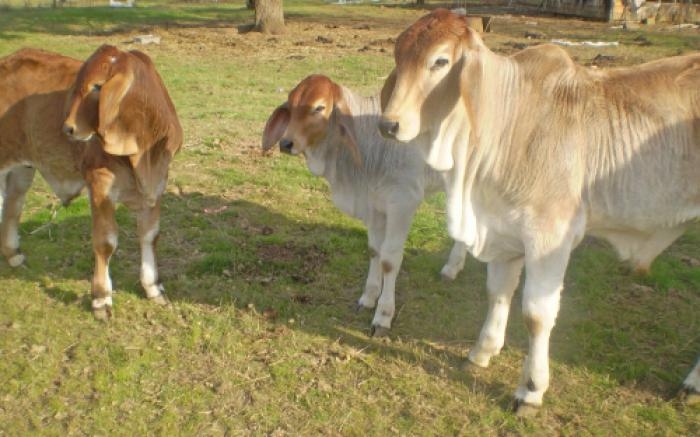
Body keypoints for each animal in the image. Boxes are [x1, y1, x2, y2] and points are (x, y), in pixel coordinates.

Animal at [62, 45, 183, 320]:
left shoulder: (157, 186)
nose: (68, 128)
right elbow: (105, 242)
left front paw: (153, 288)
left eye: (98, 86)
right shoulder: (99, 185)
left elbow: (150, 235)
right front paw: (101, 299)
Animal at [260, 74, 468, 334]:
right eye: (290, 104)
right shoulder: (374, 205)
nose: (286, 143)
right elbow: (374, 250)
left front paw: (383, 314)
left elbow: (389, 259)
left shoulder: (402, 202)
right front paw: (368, 297)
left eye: (319, 107)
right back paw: (453, 267)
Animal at [380, 8, 700, 414]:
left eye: (440, 62)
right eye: (398, 55)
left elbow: (536, 315)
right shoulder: (502, 229)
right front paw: (482, 352)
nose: (389, 124)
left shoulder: (551, 234)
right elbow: (498, 292)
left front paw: (531, 389)